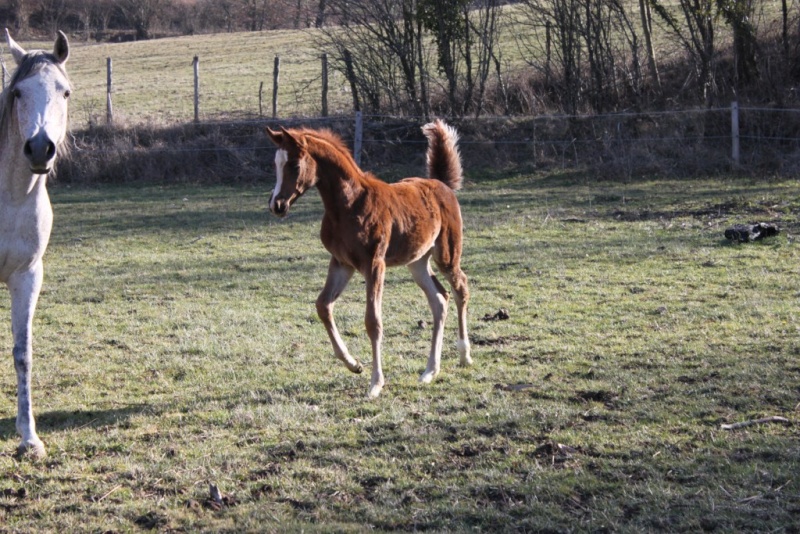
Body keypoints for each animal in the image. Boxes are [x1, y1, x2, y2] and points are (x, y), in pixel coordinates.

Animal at [266, 121, 472, 398]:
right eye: (275, 164)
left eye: (295, 166)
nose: (277, 205)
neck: (348, 204)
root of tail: (441, 184)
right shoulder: (341, 263)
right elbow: (323, 306)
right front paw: (354, 364)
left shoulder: (374, 263)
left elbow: (373, 321)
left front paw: (375, 383)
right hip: (417, 262)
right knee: (440, 299)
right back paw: (430, 371)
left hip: (447, 254)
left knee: (460, 288)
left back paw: (464, 356)